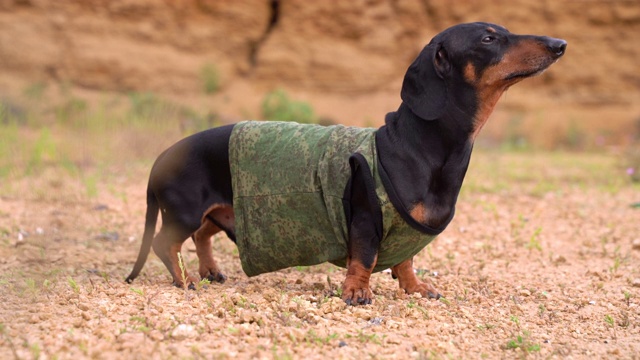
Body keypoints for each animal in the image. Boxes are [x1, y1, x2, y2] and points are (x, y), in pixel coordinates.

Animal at [125, 21, 564, 304]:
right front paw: (357, 290)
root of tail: (161, 158)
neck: (418, 143)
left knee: (200, 237)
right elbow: (365, 257)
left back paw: (209, 272)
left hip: (215, 211)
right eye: (489, 38)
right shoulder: (367, 216)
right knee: (166, 243)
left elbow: (407, 260)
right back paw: (184, 281)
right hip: (184, 210)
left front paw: (414, 287)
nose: (559, 43)